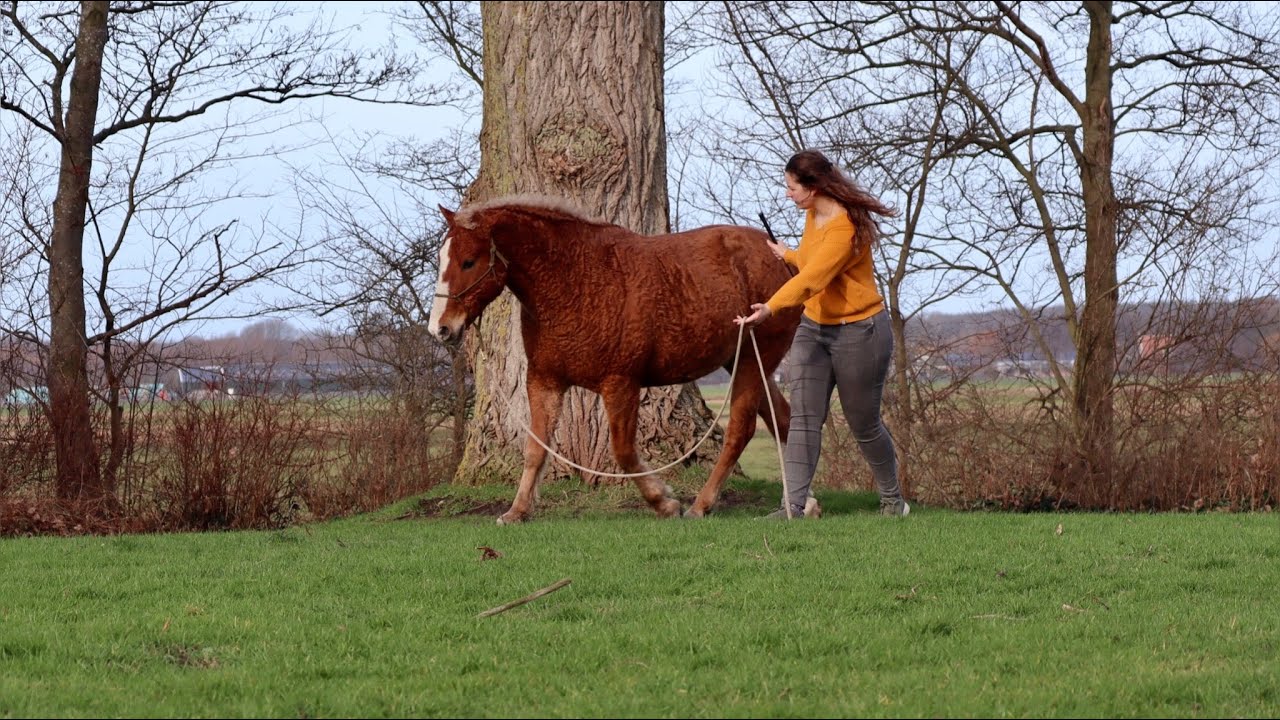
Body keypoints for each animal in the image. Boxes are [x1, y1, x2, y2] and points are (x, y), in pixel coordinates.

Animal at [428, 195, 802, 524]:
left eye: (468, 261)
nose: (440, 328)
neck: (574, 281)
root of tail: (781, 256)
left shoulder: (620, 384)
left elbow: (622, 451)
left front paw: (664, 502)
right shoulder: (544, 381)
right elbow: (536, 449)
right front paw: (517, 512)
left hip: (754, 362)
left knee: (741, 431)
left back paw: (701, 505)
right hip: (746, 364)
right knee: (783, 419)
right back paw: (799, 505)